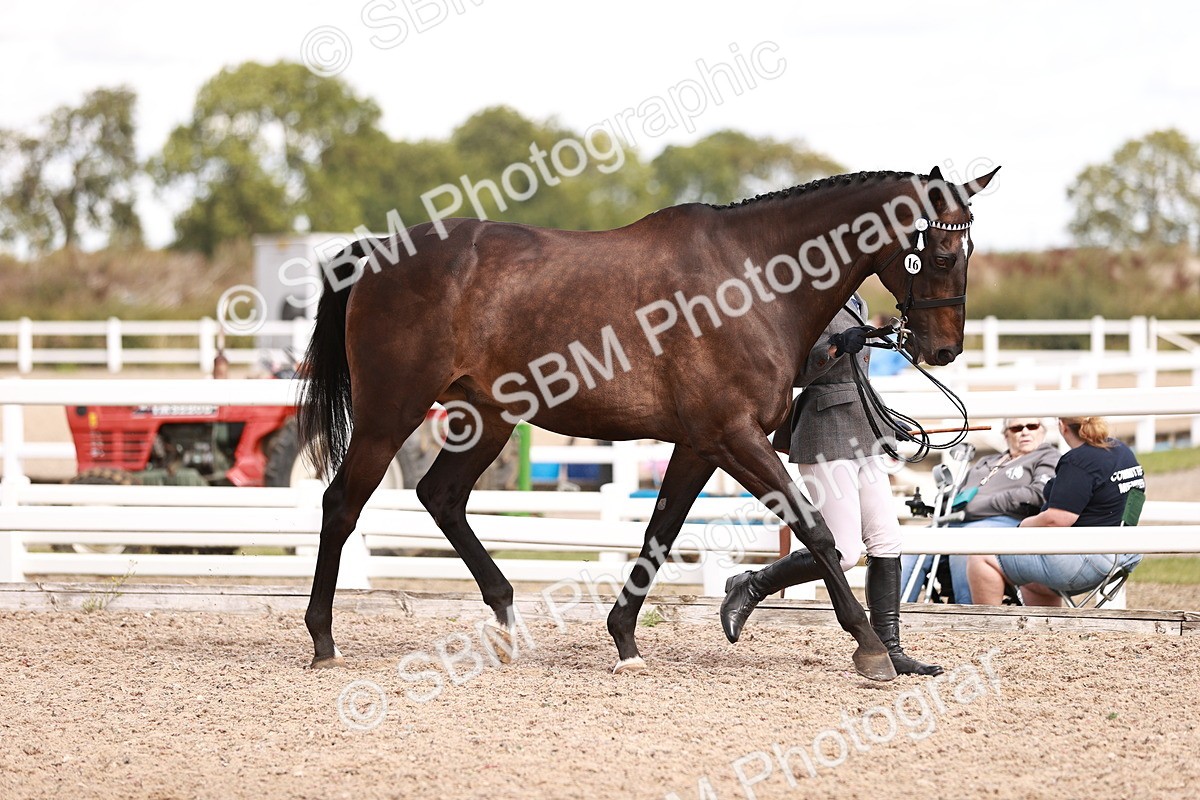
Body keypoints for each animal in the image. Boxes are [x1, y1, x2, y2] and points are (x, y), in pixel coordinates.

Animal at [298, 165, 1000, 680]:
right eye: (940, 254)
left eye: (967, 246)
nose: (943, 350)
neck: (751, 279)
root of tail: (375, 254)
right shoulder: (734, 437)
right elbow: (819, 533)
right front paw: (871, 649)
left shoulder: (698, 446)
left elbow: (659, 536)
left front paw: (626, 641)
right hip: (390, 414)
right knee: (343, 504)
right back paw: (324, 640)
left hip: (489, 417)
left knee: (440, 495)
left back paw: (508, 623)